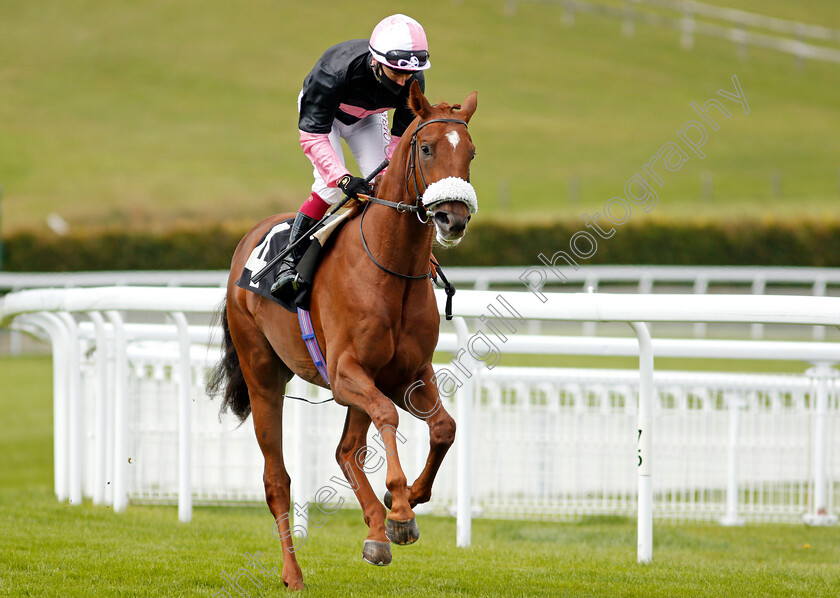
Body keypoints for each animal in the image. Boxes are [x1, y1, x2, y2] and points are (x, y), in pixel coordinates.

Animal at [207, 82, 476, 592]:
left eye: (471, 152)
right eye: (427, 149)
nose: (453, 219)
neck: (390, 267)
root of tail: (243, 246)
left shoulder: (407, 372)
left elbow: (445, 429)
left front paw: (407, 501)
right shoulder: (346, 369)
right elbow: (389, 417)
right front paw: (400, 508)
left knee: (346, 450)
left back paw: (376, 531)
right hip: (263, 375)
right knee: (277, 479)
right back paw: (294, 574)